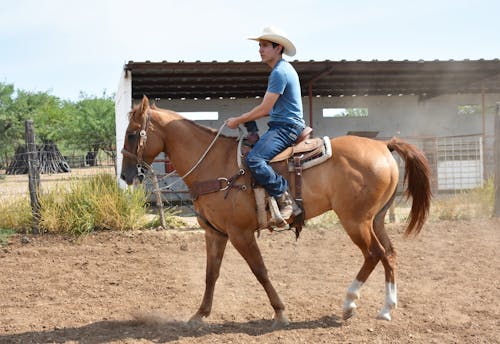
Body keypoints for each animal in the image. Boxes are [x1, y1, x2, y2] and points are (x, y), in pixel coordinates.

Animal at [120, 96, 430, 328]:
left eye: (132, 134)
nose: (125, 175)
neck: (213, 164)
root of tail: (383, 145)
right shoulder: (215, 233)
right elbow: (211, 273)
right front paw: (199, 315)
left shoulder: (241, 234)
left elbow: (260, 271)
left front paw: (280, 312)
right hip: (375, 219)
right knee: (389, 254)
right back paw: (386, 308)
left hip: (355, 221)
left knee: (373, 254)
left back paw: (349, 303)